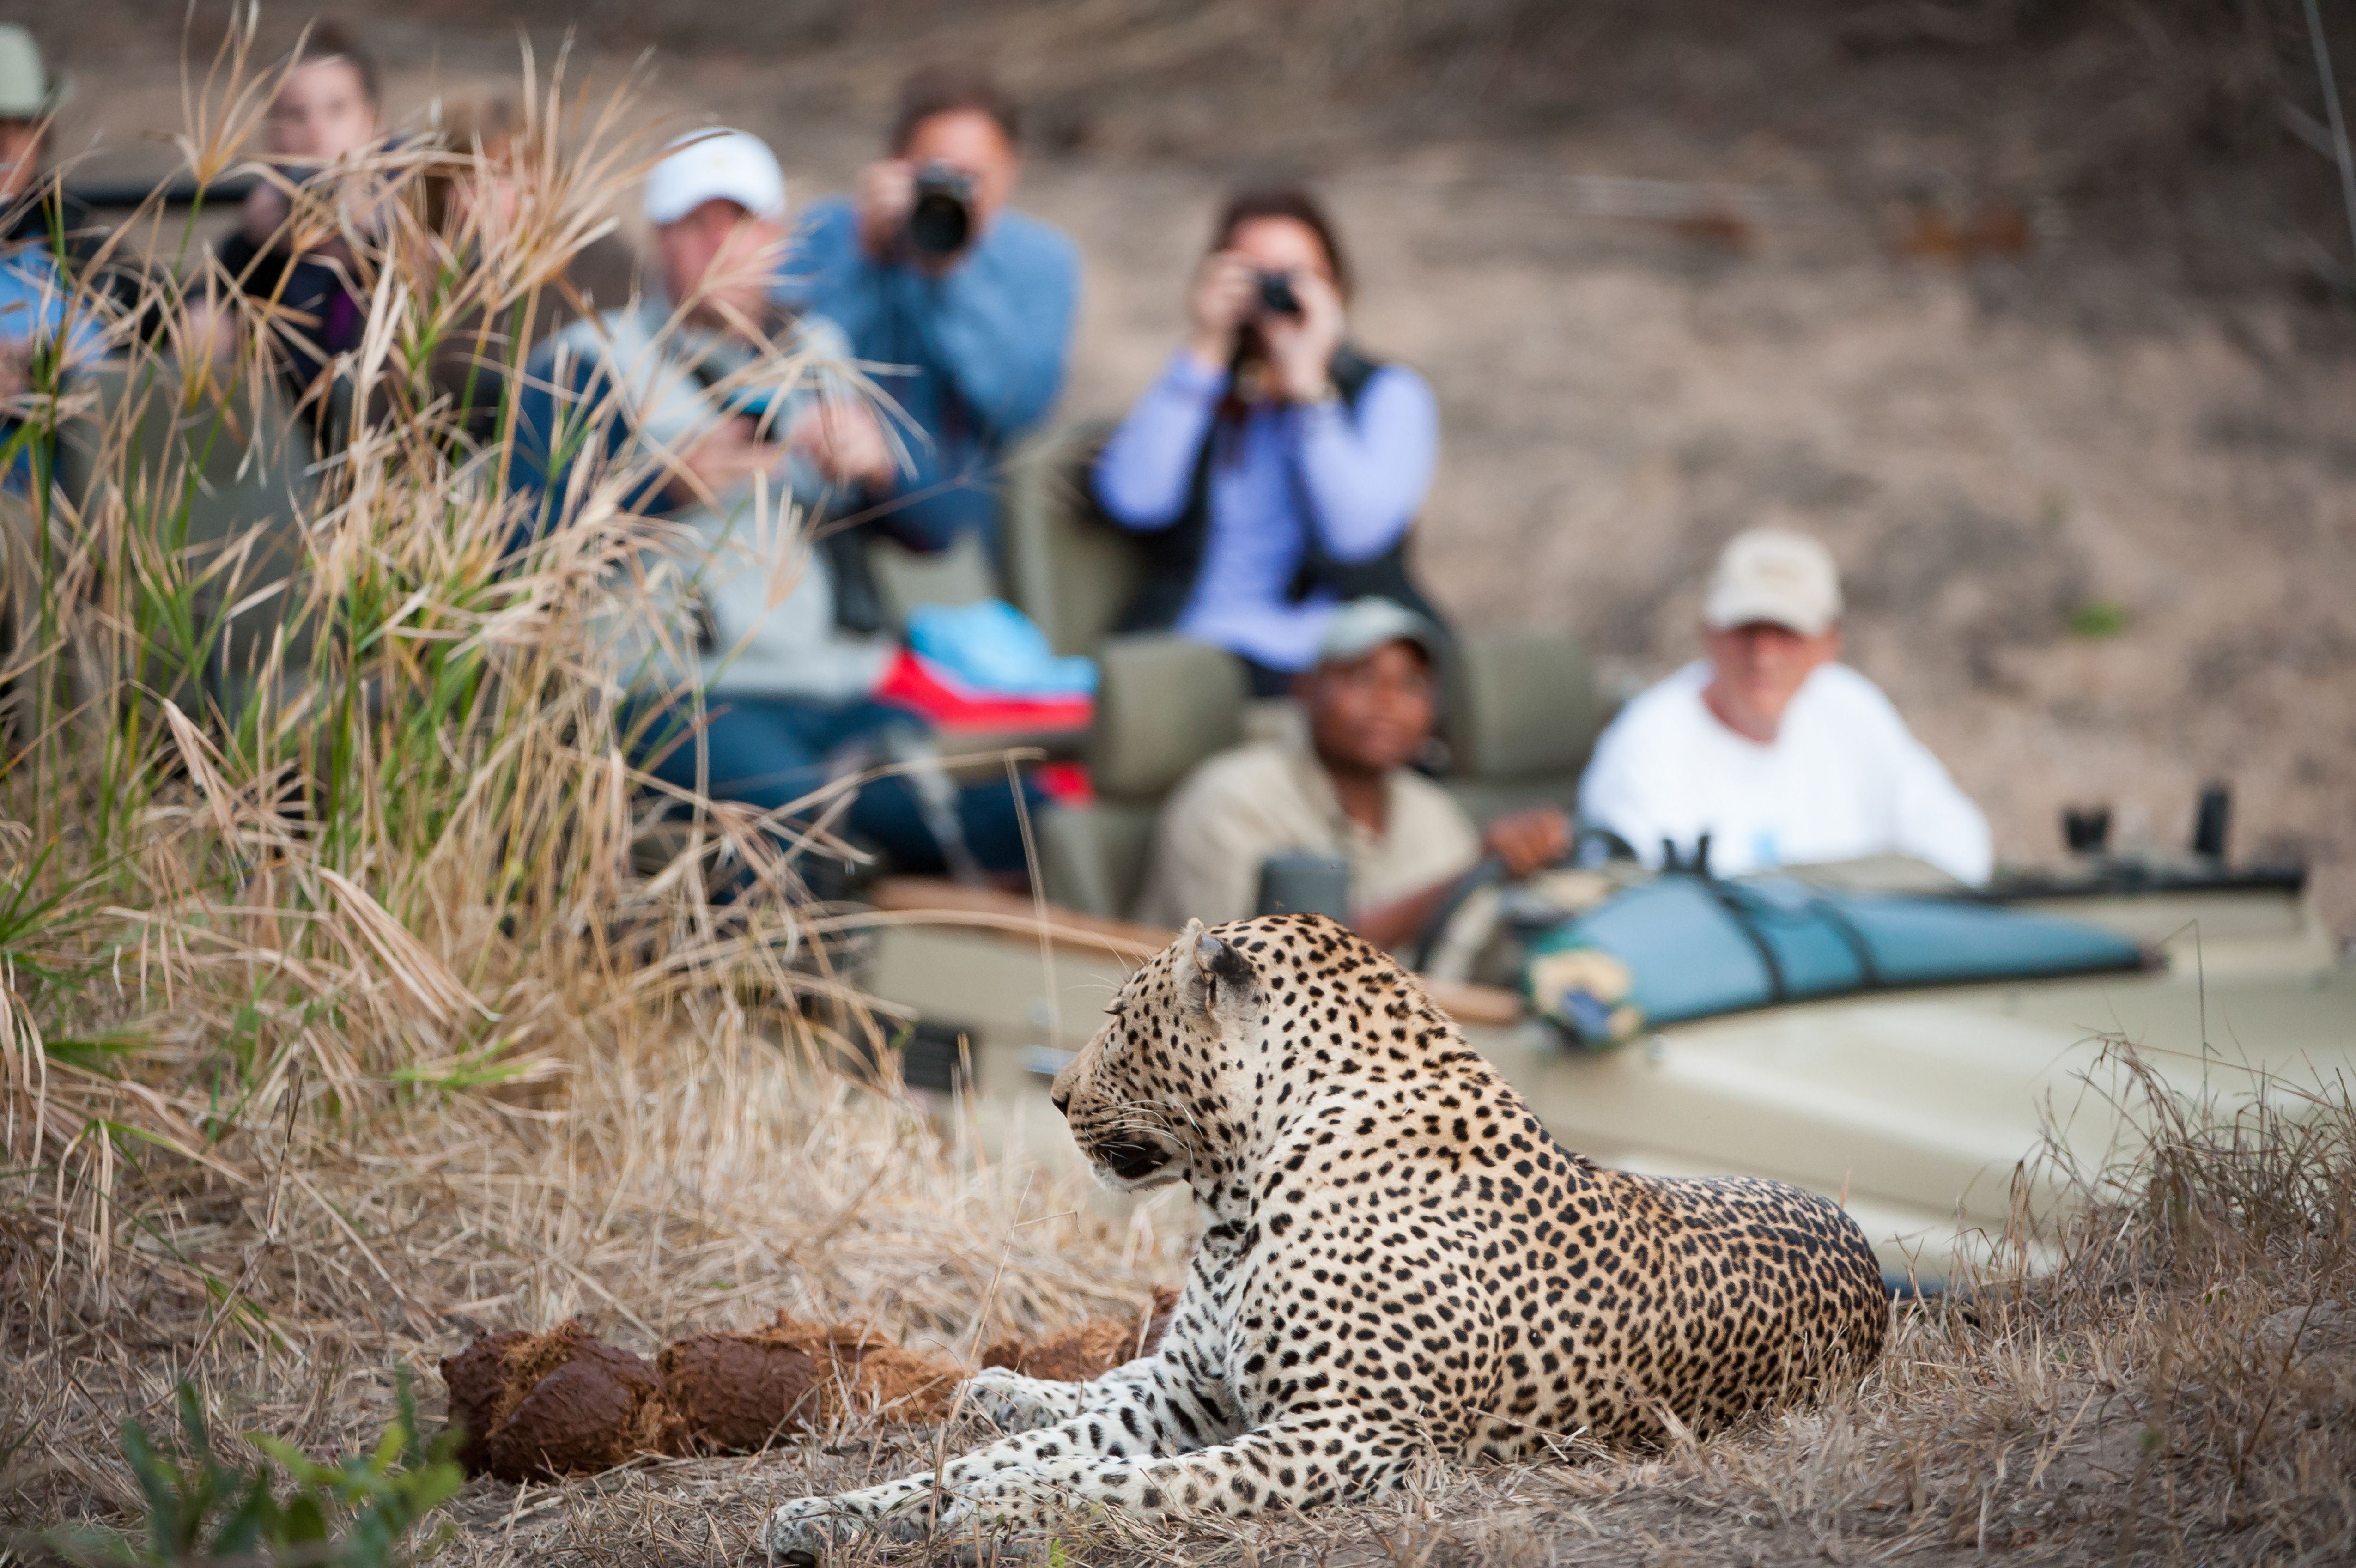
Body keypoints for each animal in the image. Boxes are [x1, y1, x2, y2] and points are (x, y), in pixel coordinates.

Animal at [763, 905, 1885, 1556]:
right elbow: (1002, 1456)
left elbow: (1133, 1476)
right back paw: (999, 1387)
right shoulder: (1188, 1393)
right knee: (1094, 1380)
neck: (1238, 1195)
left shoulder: (1352, 1427)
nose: (1057, 1095)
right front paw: (831, 1512)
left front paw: (1006, 1512)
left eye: (1122, 1021)